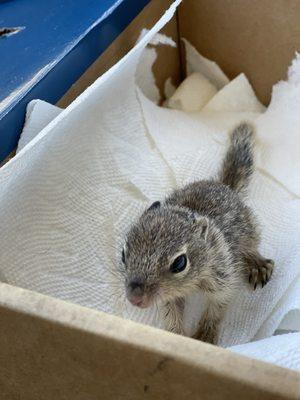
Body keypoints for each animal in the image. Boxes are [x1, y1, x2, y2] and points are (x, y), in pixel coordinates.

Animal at [120, 122, 274, 344]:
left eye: (179, 263)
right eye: (123, 255)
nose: (134, 298)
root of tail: (224, 186)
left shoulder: (223, 277)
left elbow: (217, 306)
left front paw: (205, 336)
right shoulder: (170, 297)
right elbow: (172, 313)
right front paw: (175, 338)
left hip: (249, 231)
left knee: (251, 246)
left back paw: (257, 264)